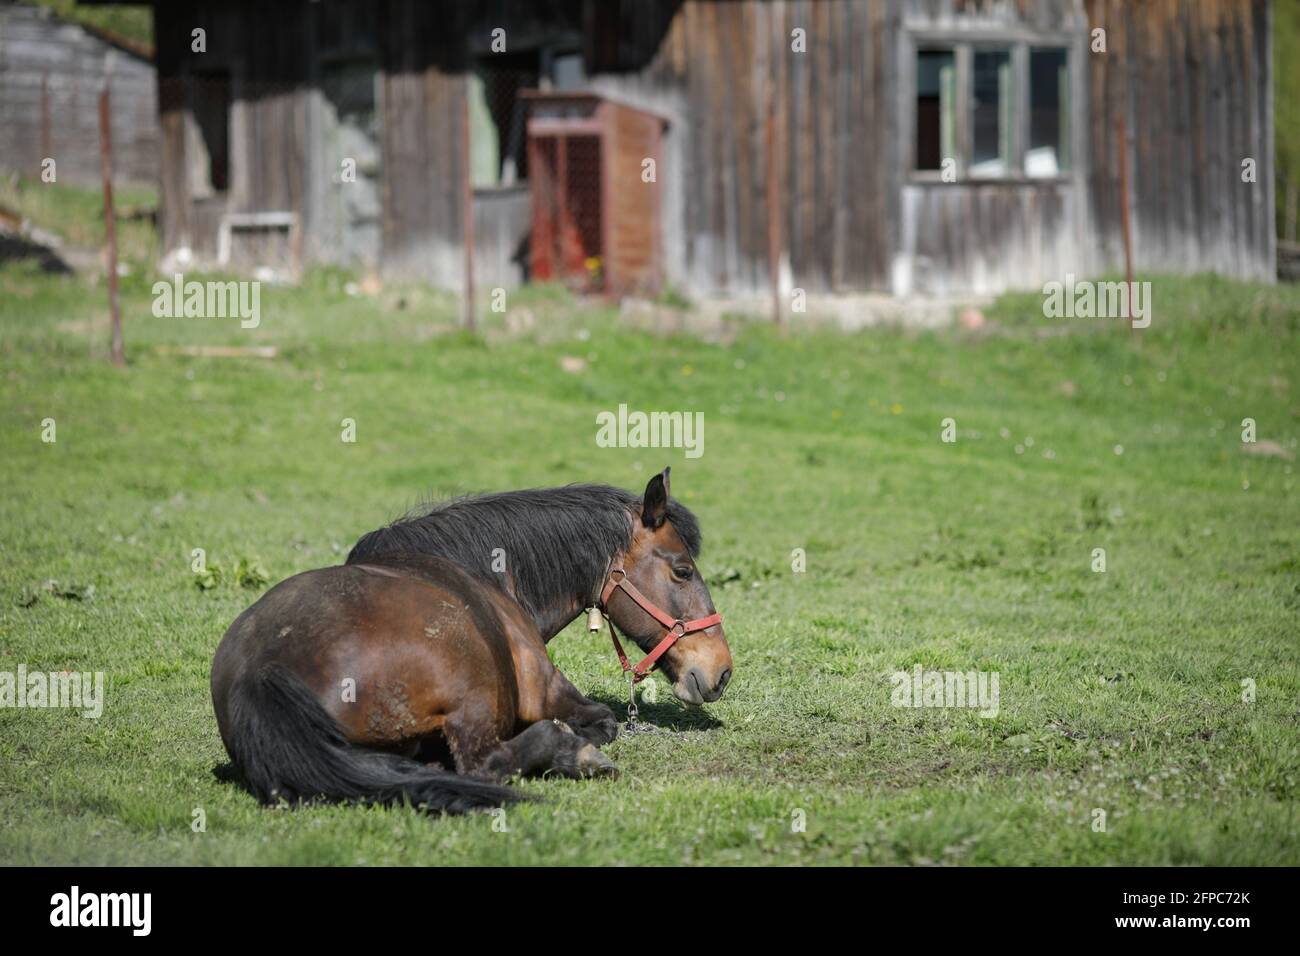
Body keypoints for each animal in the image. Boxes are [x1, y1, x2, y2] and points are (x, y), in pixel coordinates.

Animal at [210, 468, 732, 813]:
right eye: (682, 571)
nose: (721, 671)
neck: (486, 572)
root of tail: (262, 670)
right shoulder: (547, 686)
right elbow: (604, 721)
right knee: (487, 763)